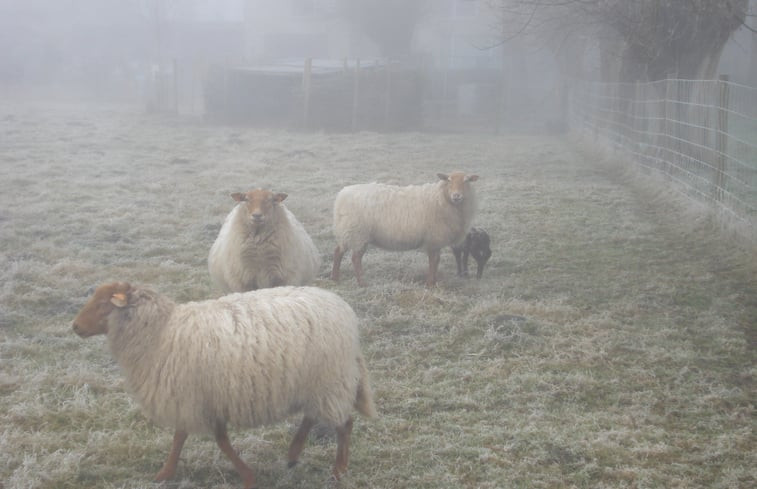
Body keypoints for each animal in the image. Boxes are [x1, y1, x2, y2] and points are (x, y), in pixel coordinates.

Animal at [74, 280, 376, 486]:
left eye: (103, 304)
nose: (74, 327)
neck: (160, 332)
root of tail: (343, 310)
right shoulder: (204, 399)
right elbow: (211, 439)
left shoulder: (190, 397)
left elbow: (192, 438)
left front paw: (166, 473)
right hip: (314, 384)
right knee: (312, 416)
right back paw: (293, 454)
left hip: (331, 381)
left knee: (344, 425)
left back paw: (339, 470)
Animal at [332, 172, 478, 286]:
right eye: (448, 180)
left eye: (466, 181)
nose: (456, 196)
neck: (441, 198)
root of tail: (342, 195)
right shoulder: (433, 238)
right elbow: (433, 261)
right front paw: (430, 283)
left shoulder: (436, 240)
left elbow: (436, 261)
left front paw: (434, 281)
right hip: (357, 233)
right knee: (355, 259)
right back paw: (362, 283)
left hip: (347, 232)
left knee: (338, 252)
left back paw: (335, 278)